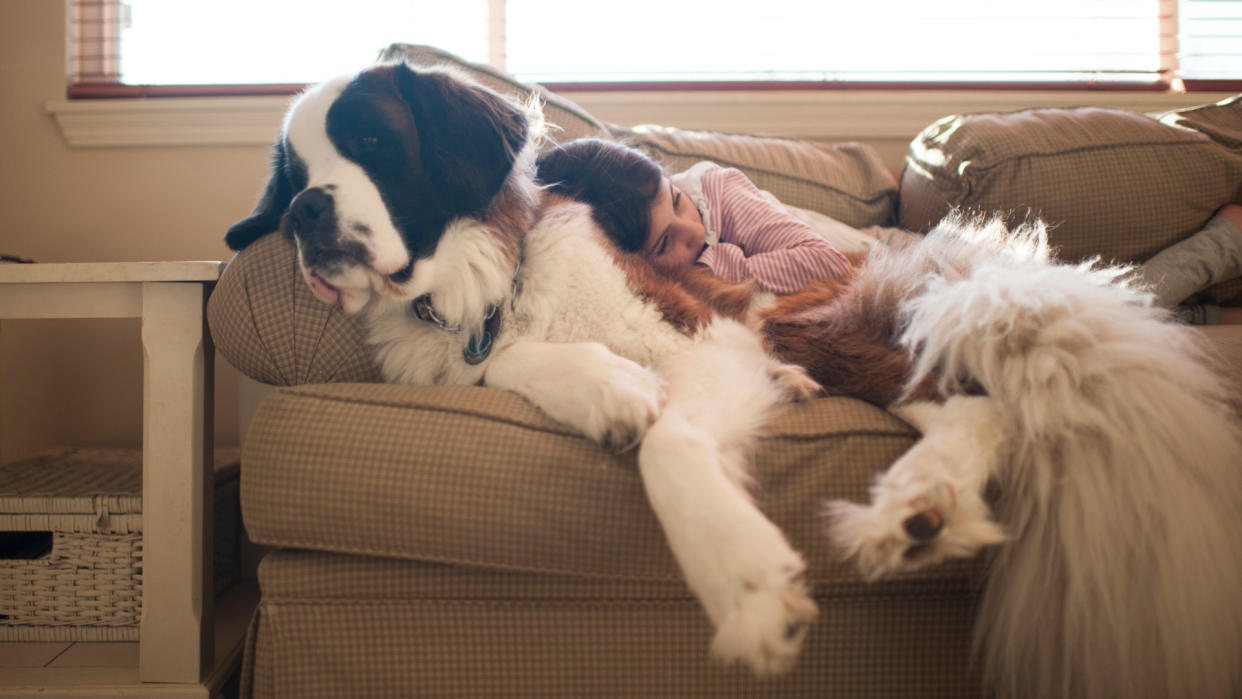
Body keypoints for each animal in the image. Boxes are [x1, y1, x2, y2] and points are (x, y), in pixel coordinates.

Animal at [228, 61, 1242, 699]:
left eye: (371, 142)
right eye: (294, 174)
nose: (306, 212)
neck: (477, 285)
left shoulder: (713, 337)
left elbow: (671, 445)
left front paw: (744, 580)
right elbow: (513, 359)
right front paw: (606, 389)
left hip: (815, 322)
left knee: (962, 395)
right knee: (962, 405)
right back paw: (919, 507)